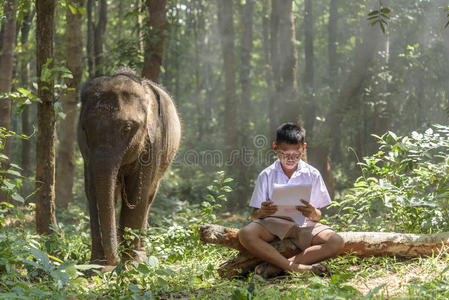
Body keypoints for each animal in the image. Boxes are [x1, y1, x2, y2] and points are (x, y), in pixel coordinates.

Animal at [77, 68, 180, 264]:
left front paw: (130, 265)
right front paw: (95, 265)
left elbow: (135, 197)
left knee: (148, 198)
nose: (114, 260)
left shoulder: (153, 143)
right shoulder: (87, 156)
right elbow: (91, 192)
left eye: (127, 128)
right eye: (85, 129)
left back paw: (141, 254)